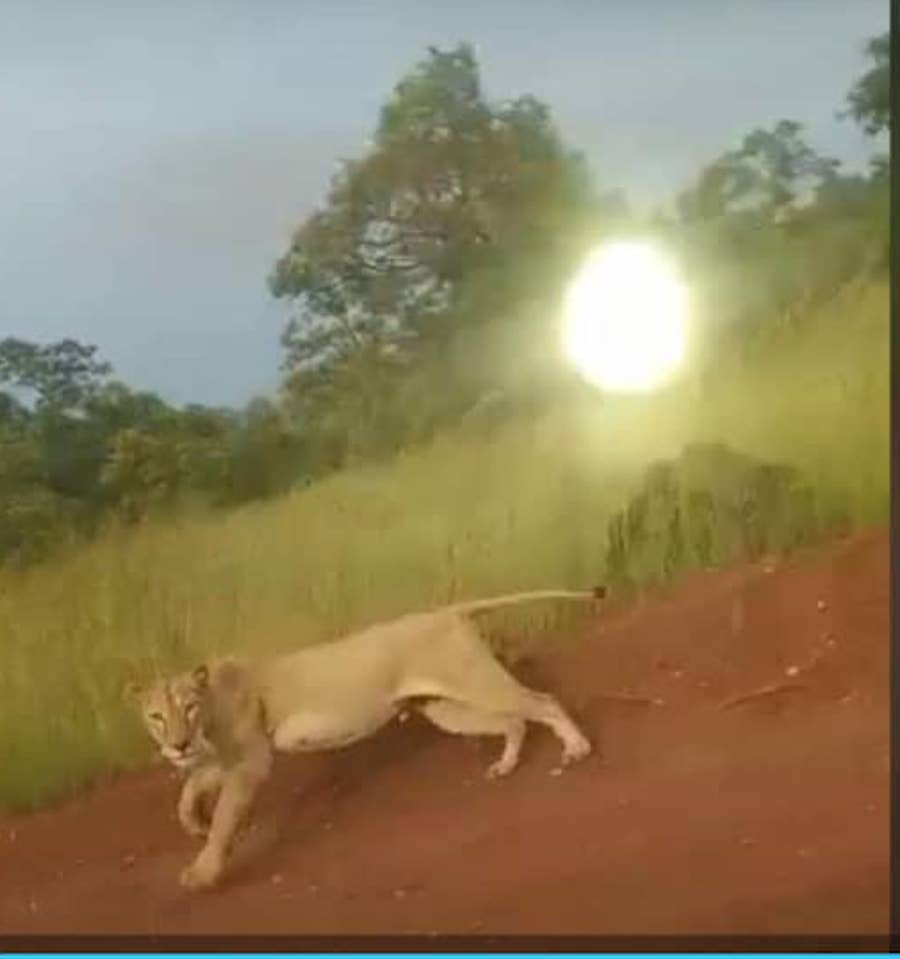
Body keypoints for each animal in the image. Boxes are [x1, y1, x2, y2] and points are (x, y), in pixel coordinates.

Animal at [125, 587, 602, 890]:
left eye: (187, 707)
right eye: (155, 717)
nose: (176, 745)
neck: (210, 711)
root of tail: (447, 611)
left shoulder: (252, 761)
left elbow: (224, 821)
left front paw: (201, 873)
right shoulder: (228, 758)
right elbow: (193, 785)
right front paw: (192, 819)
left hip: (475, 682)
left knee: (542, 701)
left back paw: (577, 749)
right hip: (445, 708)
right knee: (512, 721)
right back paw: (506, 764)